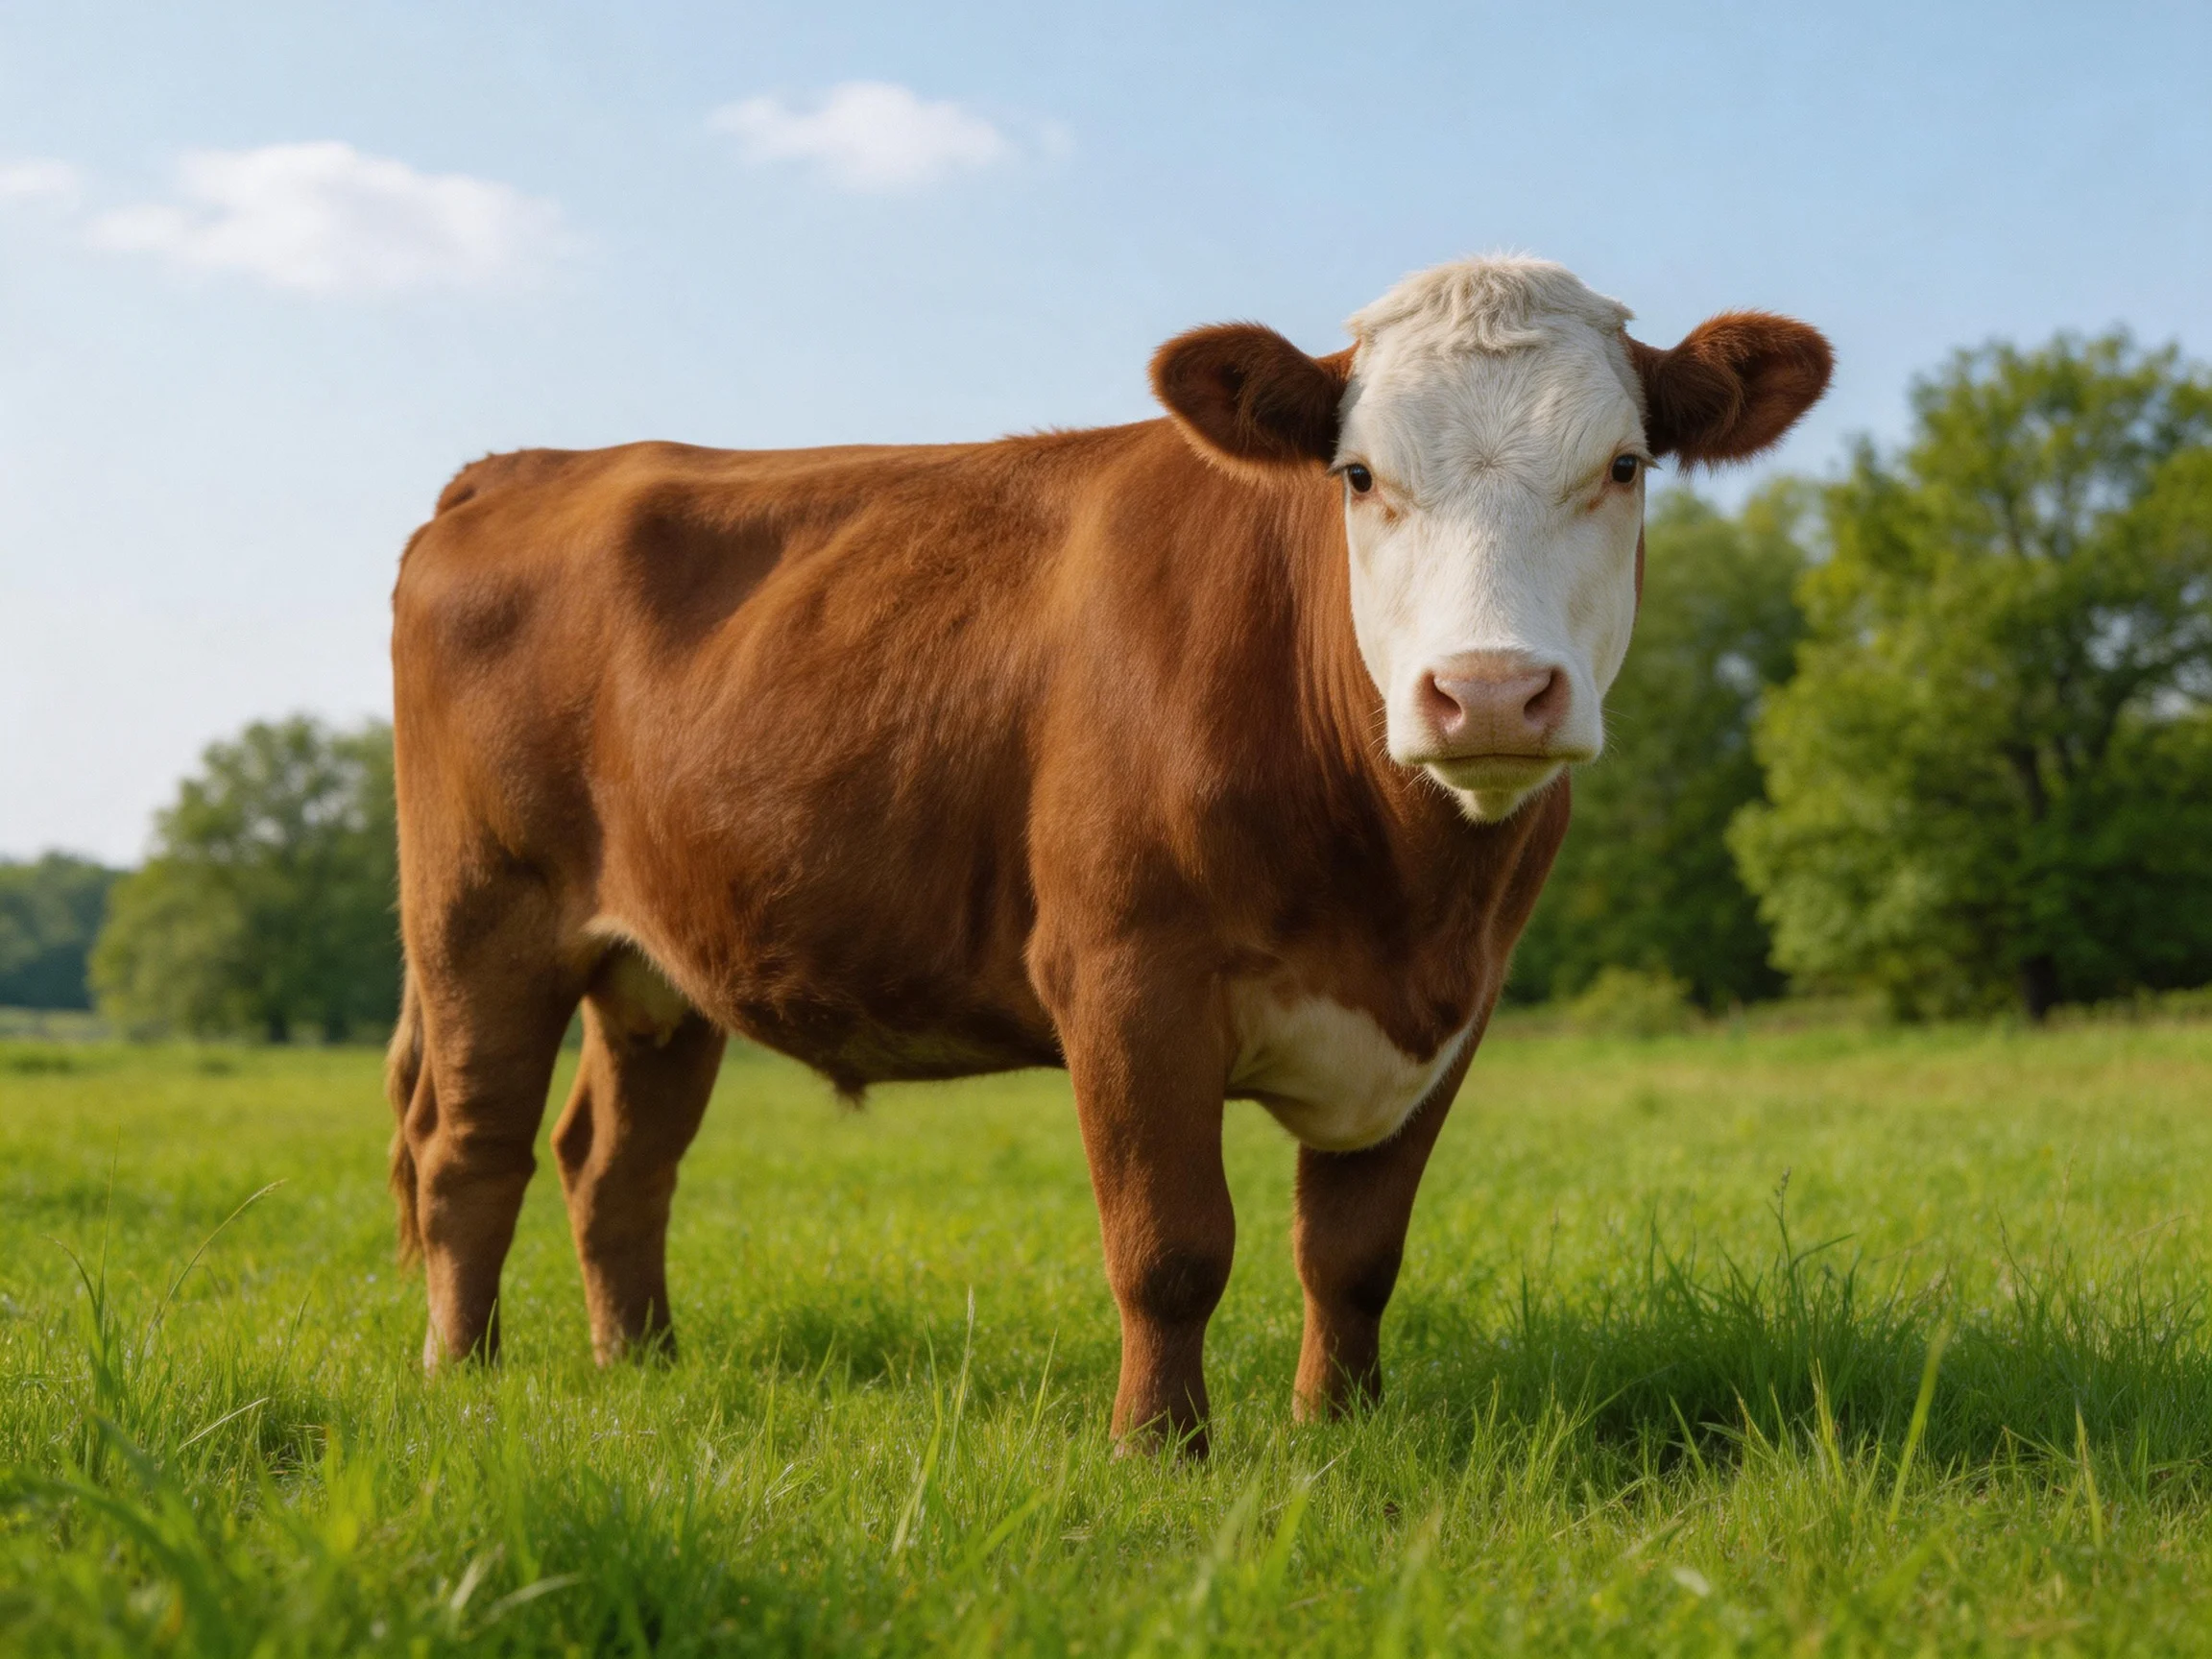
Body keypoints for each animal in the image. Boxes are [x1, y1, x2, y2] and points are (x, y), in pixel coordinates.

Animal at [385, 255, 1830, 1453]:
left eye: (1625, 466)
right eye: (1360, 477)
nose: (1486, 694)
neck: (1403, 893)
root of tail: (531, 464)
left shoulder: (1451, 1012)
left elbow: (1354, 1254)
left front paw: (1339, 1429)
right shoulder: (1128, 976)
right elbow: (1172, 1247)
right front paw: (1161, 1451)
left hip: (660, 964)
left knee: (613, 1164)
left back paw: (643, 1365)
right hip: (479, 916)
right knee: (471, 1150)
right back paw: (463, 1373)